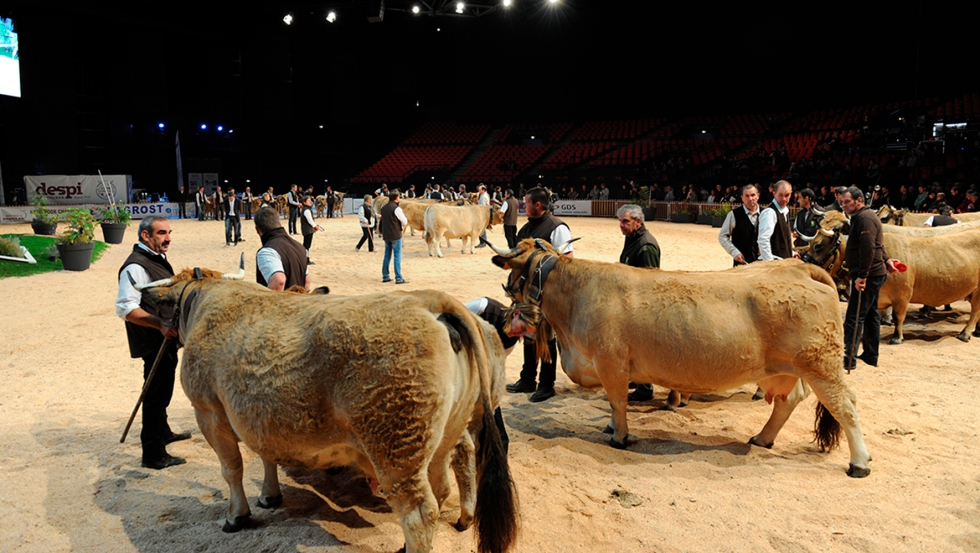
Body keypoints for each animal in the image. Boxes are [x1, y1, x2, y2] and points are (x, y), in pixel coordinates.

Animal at [134, 262, 524, 552]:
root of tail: (431, 302)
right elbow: (266, 456)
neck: (204, 301)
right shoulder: (261, 417)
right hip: (443, 437)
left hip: (395, 447)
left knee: (419, 512)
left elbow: (232, 469)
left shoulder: (209, 411)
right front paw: (269, 497)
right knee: (445, 481)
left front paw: (236, 516)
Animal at [486, 239, 868, 476]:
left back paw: (860, 463)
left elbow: (618, 401)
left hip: (822, 365)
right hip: (785, 369)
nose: (507, 302)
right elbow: (613, 402)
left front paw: (619, 436)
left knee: (846, 406)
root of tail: (800, 268)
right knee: (789, 400)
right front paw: (611, 425)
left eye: (513, 274)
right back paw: (762, 438)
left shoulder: (611, 362)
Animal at [804, 210, 980, 340]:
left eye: (818, 246)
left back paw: (965, 333)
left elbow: (898, 316)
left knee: (975, 312)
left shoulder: (902, 295)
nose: (804, 261)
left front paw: (896, 336)